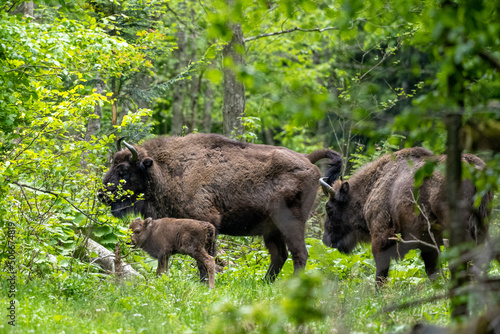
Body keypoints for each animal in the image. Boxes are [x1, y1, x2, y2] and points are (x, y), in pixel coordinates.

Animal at [99, 132, 342, 280]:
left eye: (123, 170)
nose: (101, 195)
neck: (163, 169)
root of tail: (307, 159)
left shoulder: (207, 223)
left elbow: (205, 259)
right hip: (271, 230)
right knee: (279, 255)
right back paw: (265, 283)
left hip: (291, 224)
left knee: (299, 254)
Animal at [320, 147, 492, 284]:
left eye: (329, 208)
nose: (326, 240)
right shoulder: (428, 243)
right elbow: (432, 269)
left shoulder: (381, 238)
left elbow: (381, 274)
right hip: (482, 224)